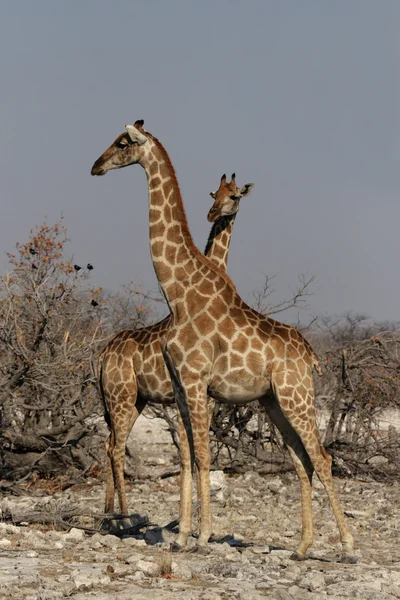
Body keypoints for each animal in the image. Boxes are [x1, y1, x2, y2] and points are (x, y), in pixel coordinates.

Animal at [98, 172, 253, 516]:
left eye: (233, 195)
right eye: (213, 193)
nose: (212, 213)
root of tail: (101, 356)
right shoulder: (196, 395)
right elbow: (190, 451)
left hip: (135, 399)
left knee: (109, 442)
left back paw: (108, 508)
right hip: (122, 396)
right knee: (116, 446)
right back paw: (124, 511)